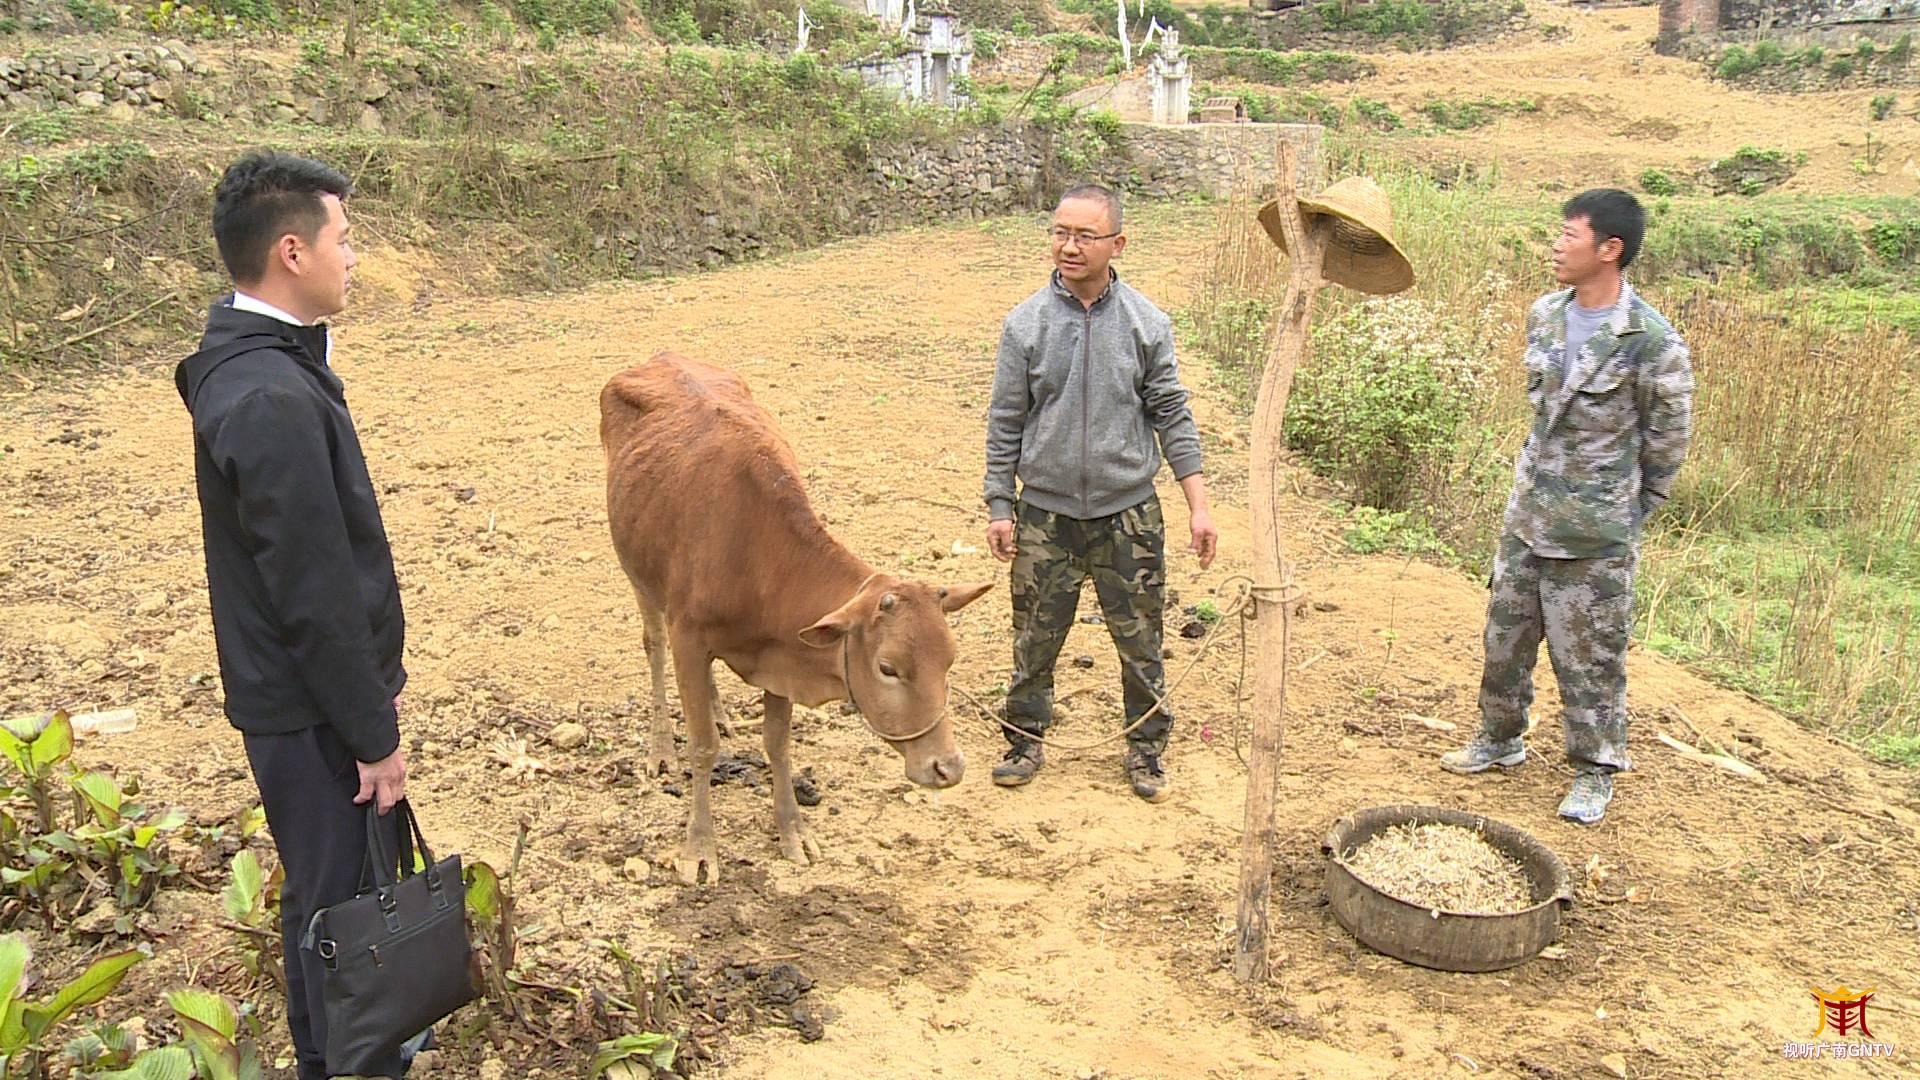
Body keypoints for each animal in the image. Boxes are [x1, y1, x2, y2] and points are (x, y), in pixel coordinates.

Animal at [599, 353, 990, 883]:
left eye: (950, 661)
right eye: (888, 668)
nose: (949, 768)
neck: (754, 554)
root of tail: (662, 357)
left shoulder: (780, 658)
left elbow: (778, 744)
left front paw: (793, 831)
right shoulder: (689, 636)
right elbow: (702, 746)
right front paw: (699, 848)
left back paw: (718, 711)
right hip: (639, 577)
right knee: (655, 650)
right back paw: (661, 749)